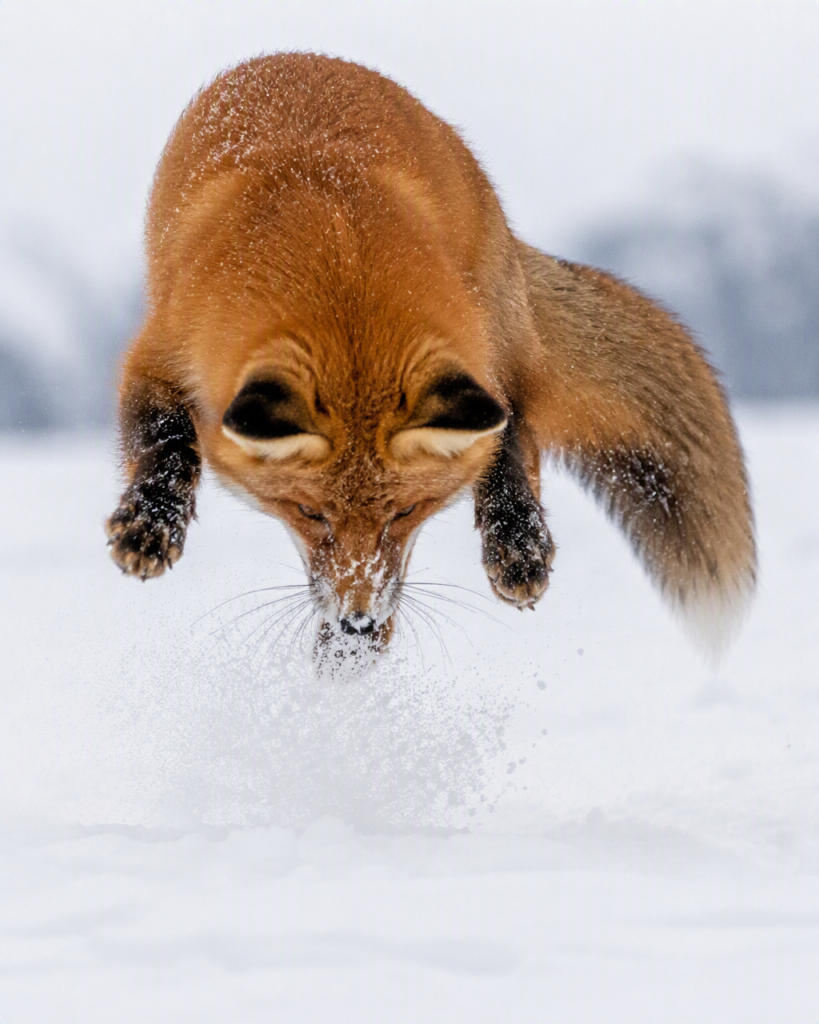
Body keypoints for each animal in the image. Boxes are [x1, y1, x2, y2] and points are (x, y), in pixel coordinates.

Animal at [106, 53, 756, 664]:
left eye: (406, 510)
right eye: (308, 511)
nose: (357, 621)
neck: (335, 260)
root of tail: (305, 57)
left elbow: (505, 448)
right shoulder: (161, 352)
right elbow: (165, 441)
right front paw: (150, 522)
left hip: (491, 345)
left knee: (513, 434)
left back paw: (515, 545)